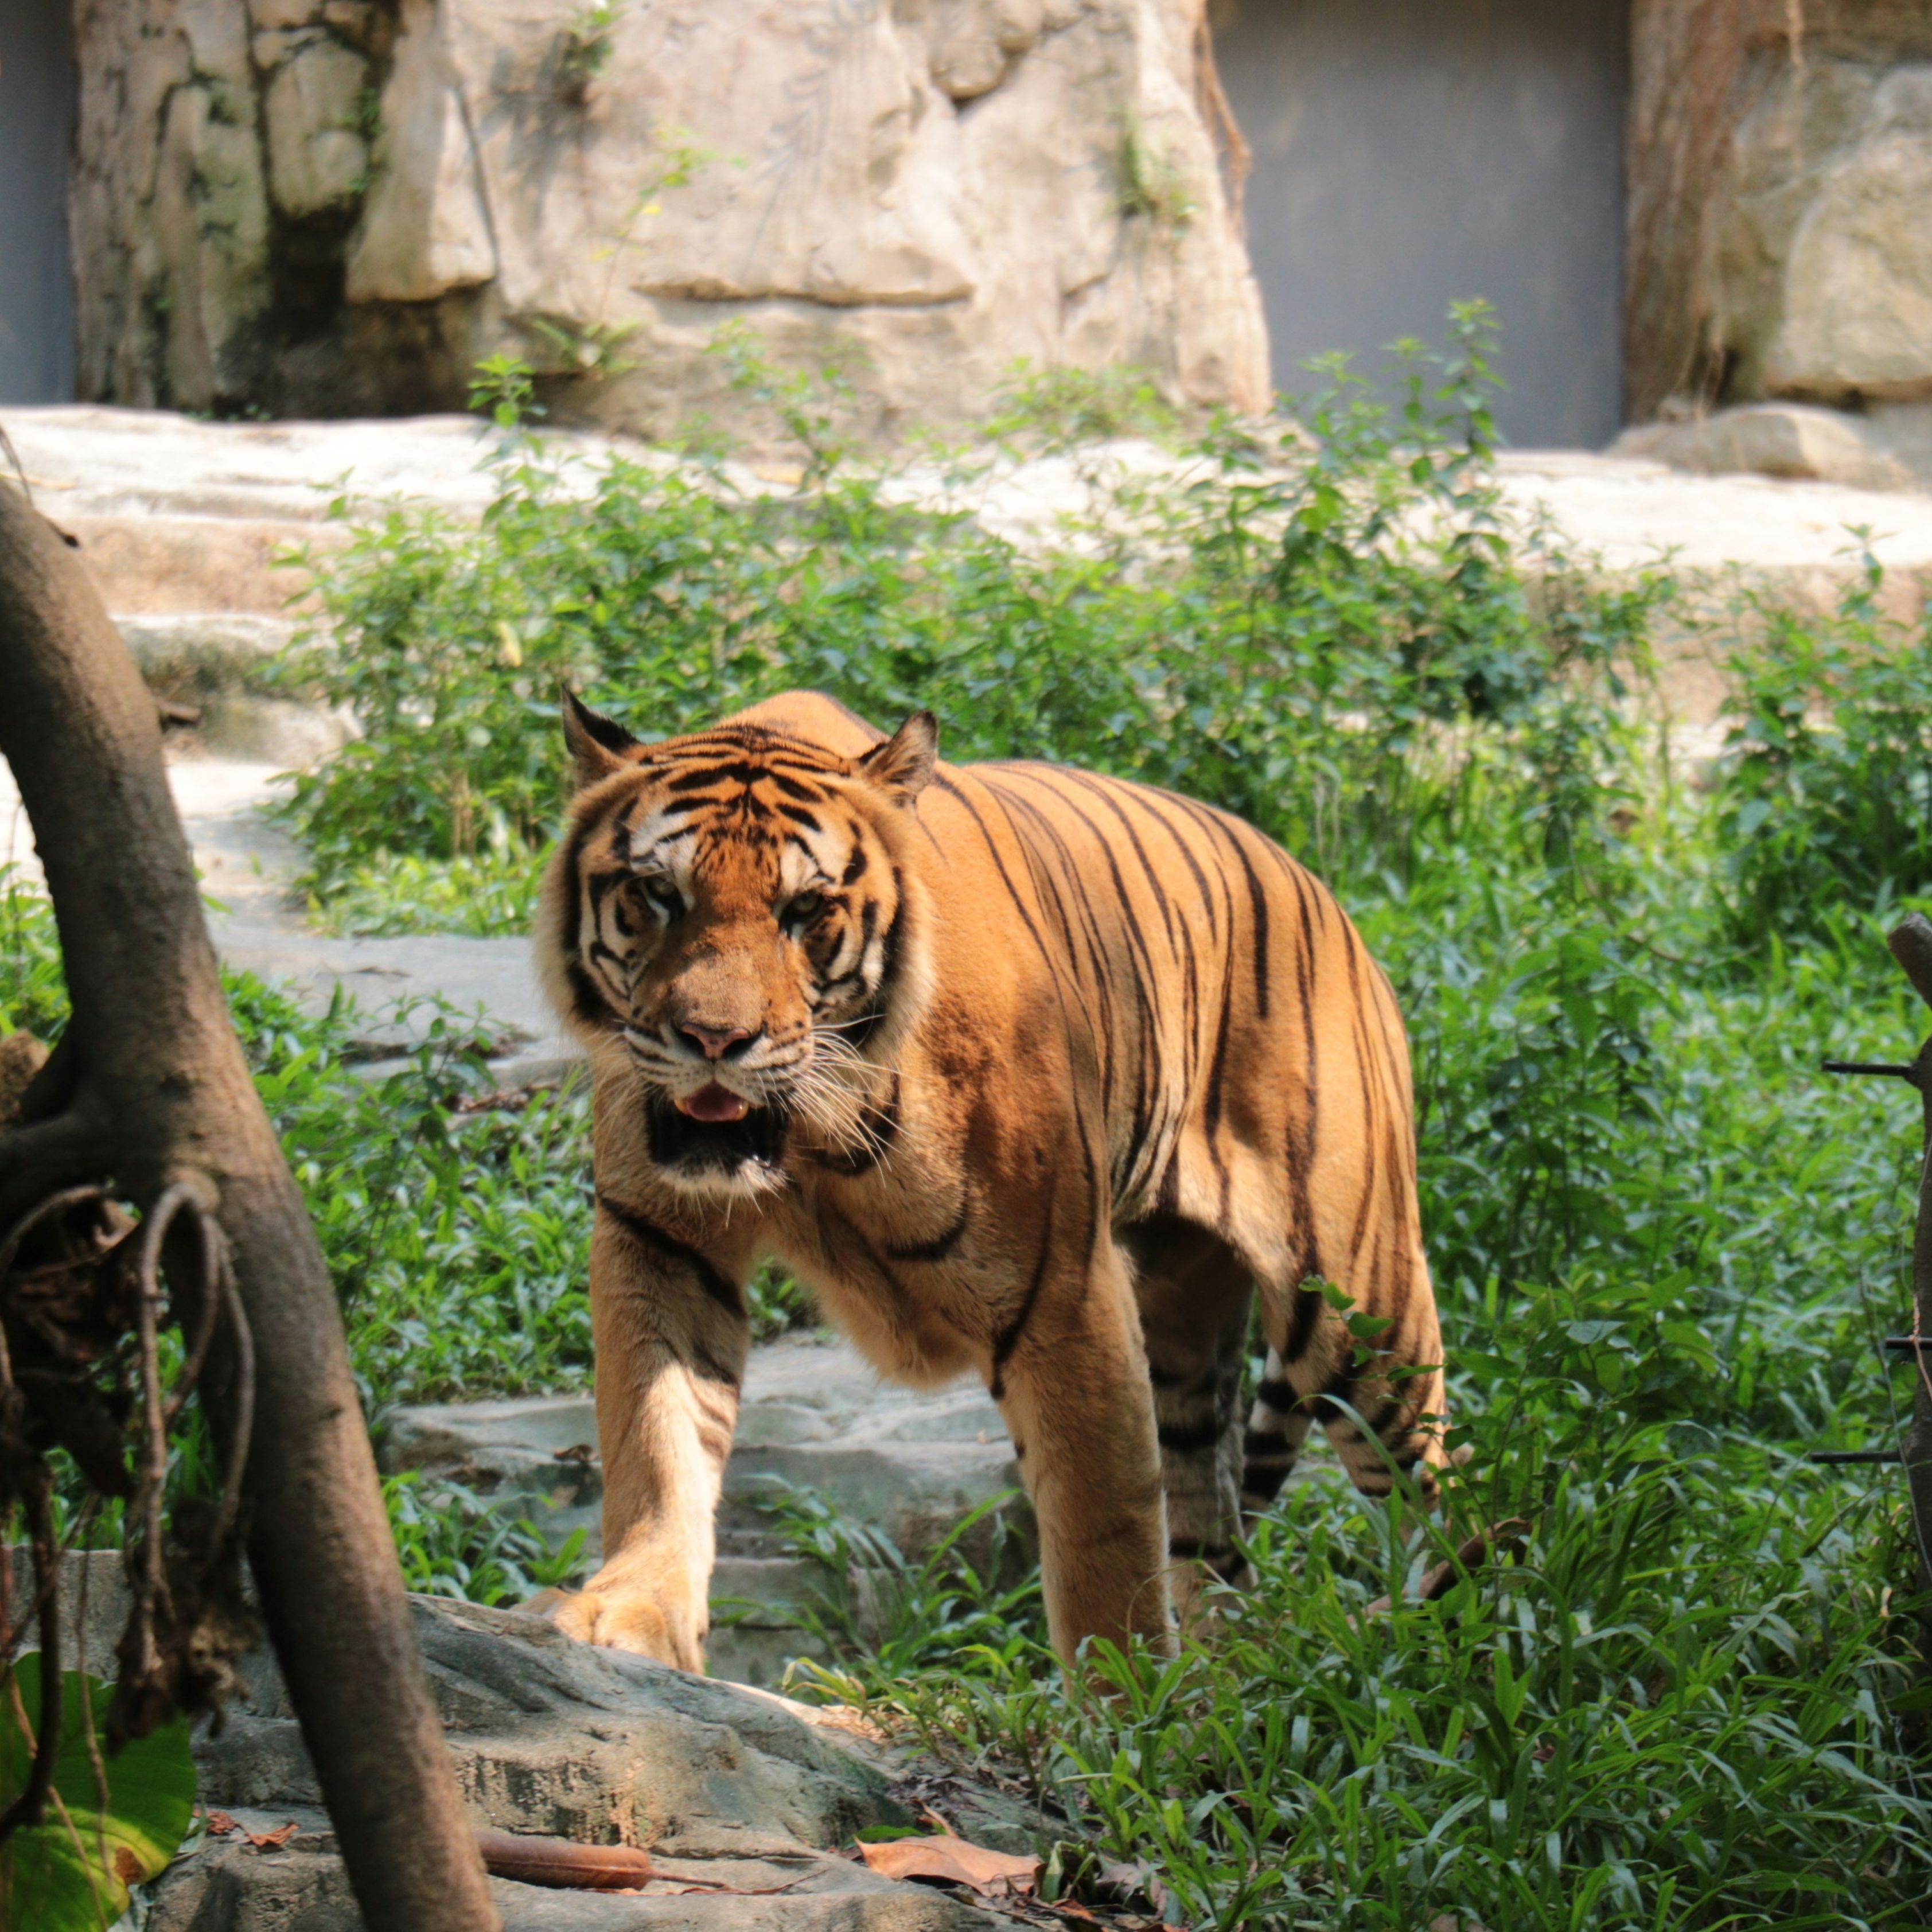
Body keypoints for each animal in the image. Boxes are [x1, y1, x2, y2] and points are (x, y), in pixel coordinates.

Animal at [536, 688, 1447, 1671]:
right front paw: (630, 1615)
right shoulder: (660, 1239)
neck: (811, 1136)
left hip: (1356, 1299)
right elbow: (656, 1435)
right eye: (658, 895)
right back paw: (1222, 1677)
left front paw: (1126, 1700)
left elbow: (1102, 1536)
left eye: (805, 910)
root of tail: (1324, 892)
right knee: (1212, 1527)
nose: (713, 1040)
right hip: (1184, 1328)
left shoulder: (1066, 1294)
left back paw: (1454, 1628)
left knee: (1436, 1477)